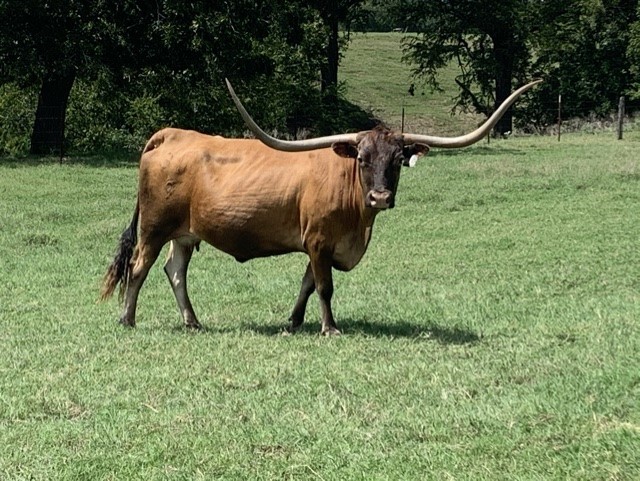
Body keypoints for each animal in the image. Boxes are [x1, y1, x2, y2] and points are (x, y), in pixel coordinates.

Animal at [101, 79, 541, 335]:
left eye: (398, 161)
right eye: (362, 158)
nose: (381, 197)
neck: (358, 223)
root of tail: (171, 134)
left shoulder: (321, 245)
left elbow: (307, 284)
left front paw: (294, 321)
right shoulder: (317, 241)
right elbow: (324, 286)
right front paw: (330, 328)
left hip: (185, 234)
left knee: (175, 271)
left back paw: (192, 321)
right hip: (154, 228)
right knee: (139, 268)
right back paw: (128, 319)